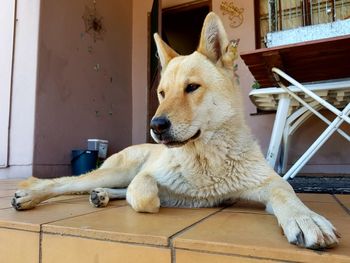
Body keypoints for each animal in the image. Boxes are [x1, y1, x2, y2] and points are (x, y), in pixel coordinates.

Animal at [11, 12, 340, 251]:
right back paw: (30, 195)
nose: (155, 126)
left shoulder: (268, 182)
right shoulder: (147, 177)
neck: (205, 158)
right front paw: (164, 198)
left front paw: (305, 218)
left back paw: (101, 195)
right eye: (161, 93)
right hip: (116, 170)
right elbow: (145, 195)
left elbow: (287, 193)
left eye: (192, 87)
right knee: (64, 183)